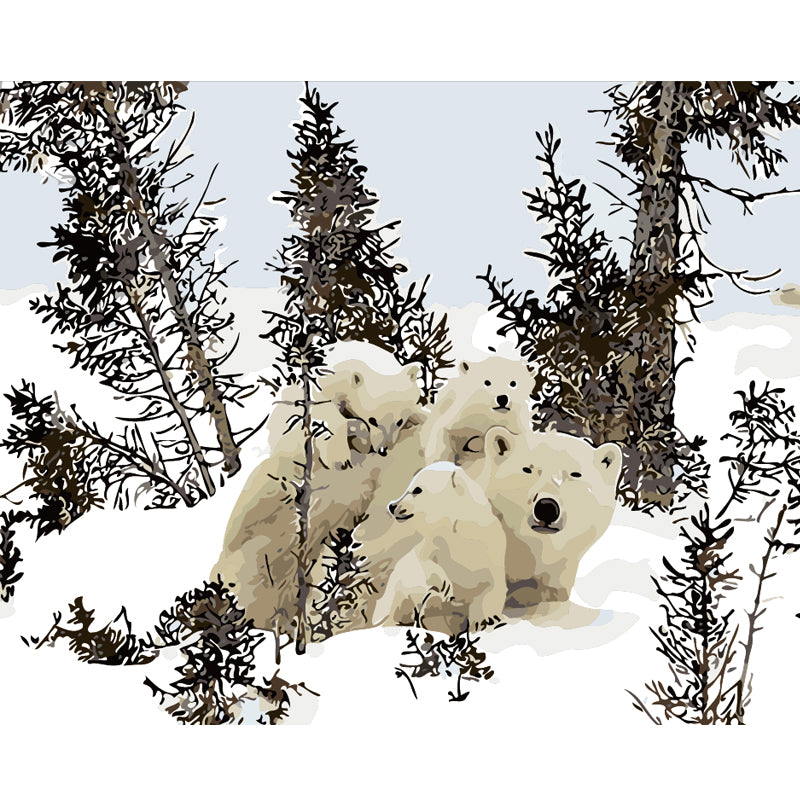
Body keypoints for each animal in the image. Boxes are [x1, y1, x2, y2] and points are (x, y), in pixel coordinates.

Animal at [367, 462, 508, 636]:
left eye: (417, 489)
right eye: (410, 486)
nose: (392, 506)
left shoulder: (491, 548)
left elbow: (492, 586)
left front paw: (486, 621)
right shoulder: (434, 543)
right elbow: (427, 565)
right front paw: (446, 586)